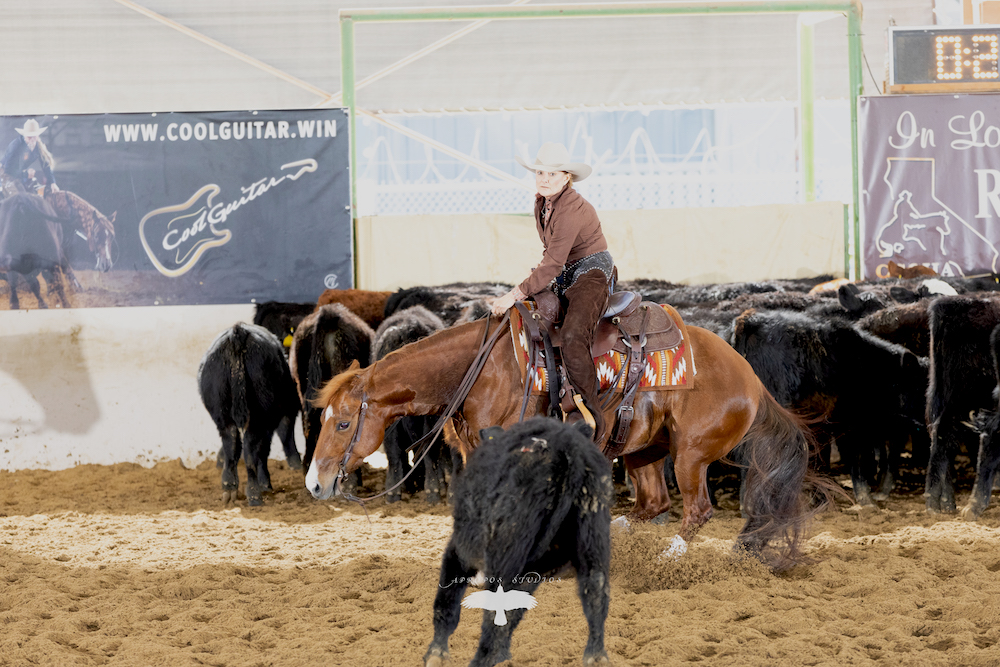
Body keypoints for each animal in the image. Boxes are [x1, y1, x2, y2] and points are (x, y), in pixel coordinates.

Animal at [305, 311, 836, 570]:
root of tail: (752, 381)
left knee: (696, 509)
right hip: (643, 451)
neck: (485, 369)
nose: (314, 483)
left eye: (343, 424)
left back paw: (669, 557)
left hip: (689, 454)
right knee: (653, 504)